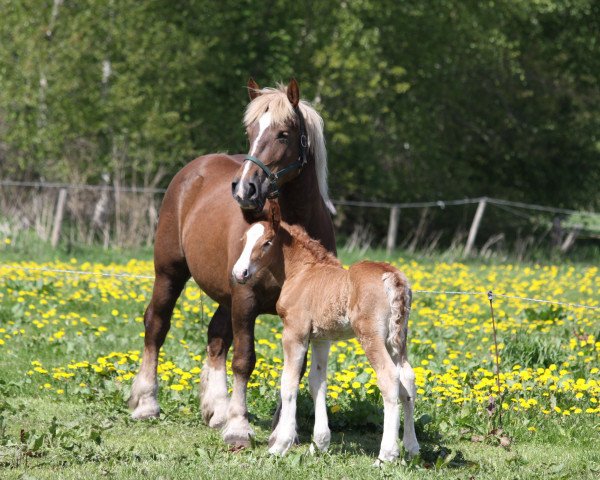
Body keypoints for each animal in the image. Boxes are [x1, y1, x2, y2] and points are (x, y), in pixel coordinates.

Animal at [232, 204, 420, 464]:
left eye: (267, 242)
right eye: (244, 240)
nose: (239, 273)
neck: (302, 272)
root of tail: (392, 276)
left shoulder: (295, 332)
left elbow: (289, 382)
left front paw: (280, 444)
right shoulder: (322, 338)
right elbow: (317, 381)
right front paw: (319, 444)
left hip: (370, 336)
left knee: (389, 377)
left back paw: (386, 456)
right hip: (397, 339)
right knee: (407, 379)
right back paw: (412, 449)